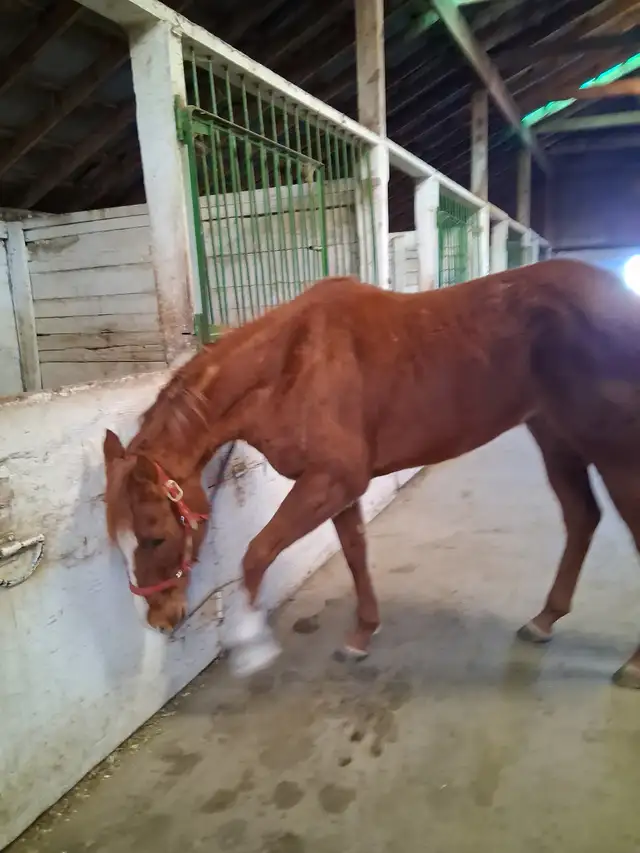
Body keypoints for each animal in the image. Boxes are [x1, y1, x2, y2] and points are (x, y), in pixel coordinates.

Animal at [103, 258, 640, 686]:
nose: (159, 620)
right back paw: (544, 620)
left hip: (615, 451)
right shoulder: (335, 485)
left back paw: (631, 663)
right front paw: (361, 635)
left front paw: (250, 644)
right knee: (582, 518)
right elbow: (356, 552)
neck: (289, 364)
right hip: (555, 436)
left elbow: (257, 553)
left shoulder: (333, 479)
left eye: (154, 536)